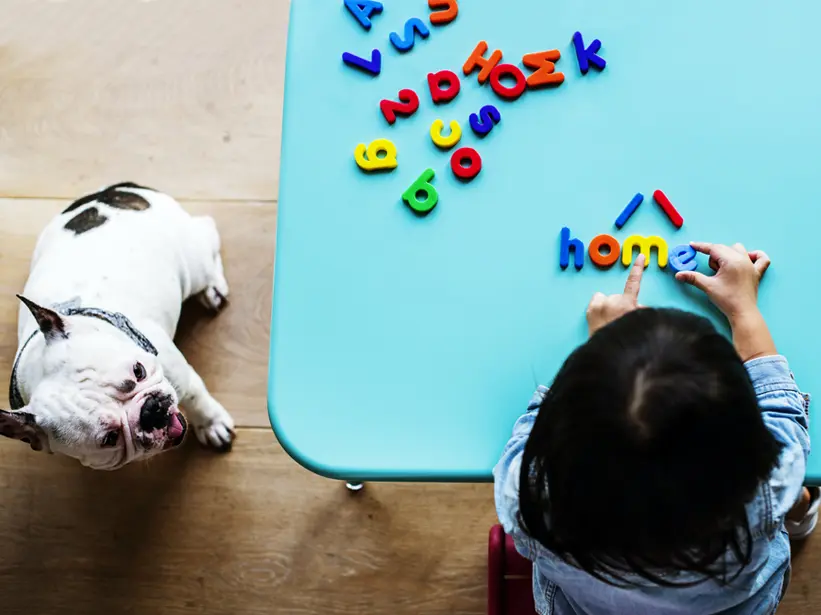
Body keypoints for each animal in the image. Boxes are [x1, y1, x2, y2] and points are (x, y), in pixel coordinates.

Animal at [0, 183, 237, 472]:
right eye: (110, 438)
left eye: (139, 371)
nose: (152, 411)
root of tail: (114, 190)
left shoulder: (180, 377)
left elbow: (196, 397)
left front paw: (212, 425)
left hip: (193, 264)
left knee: (207, 233)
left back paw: (213, 287)